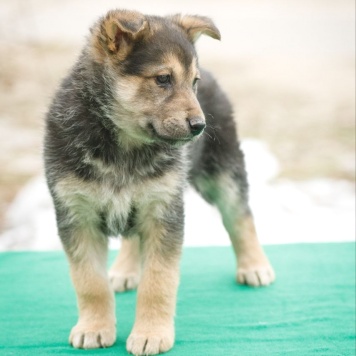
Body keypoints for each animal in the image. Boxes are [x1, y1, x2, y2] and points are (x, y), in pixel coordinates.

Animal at [43, 9, 276, 356]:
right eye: (163, 79)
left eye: (193, 83)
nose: (200, 126)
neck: (124, 146)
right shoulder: (76, 215)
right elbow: (89, 282)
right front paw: (94, 328)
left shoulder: (163, 211)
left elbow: (158, 281)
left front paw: (151, 333)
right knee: (131, 237)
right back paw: (125, 271)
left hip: (223, 173)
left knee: (240, 216)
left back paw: (254, 266)